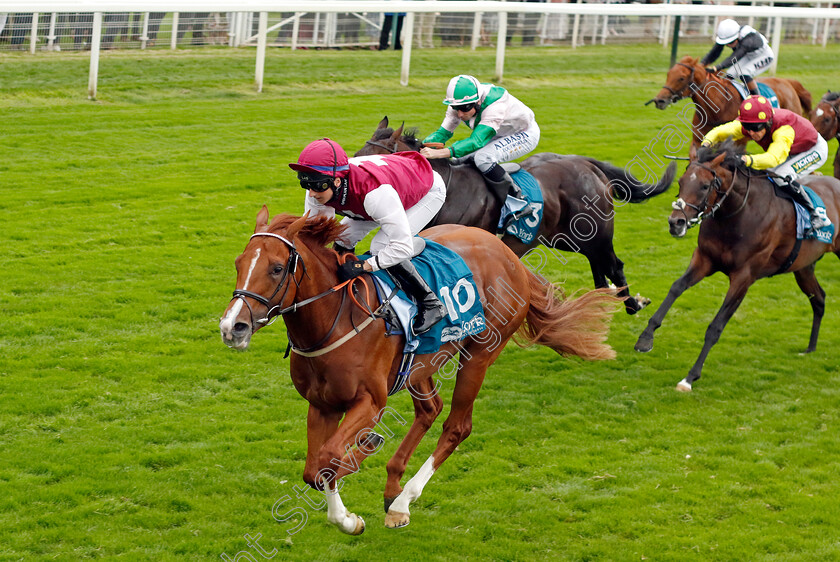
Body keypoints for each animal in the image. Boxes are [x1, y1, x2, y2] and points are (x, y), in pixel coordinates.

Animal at [220, 208, 620, 532]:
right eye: (238, 263)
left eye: (276, 269)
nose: (232, 327)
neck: (334, 319)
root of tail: (511, 257)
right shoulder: (322, 404)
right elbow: (314, 469)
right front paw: (347, 514)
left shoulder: (371, 402)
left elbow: (329, 458)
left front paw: (352, 499)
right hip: (423, 361)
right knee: (430, 410)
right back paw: (392, 485)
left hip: (479, 354)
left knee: (457, 427)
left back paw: (401, 499)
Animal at [352, 116, 676, 316]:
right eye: (355, 155)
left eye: (372, 160)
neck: (446, 189)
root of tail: (587, 164)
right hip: (567, 238)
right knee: (599, 269)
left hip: (596, 234)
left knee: (614, 265)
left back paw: (633, 304)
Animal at [636, 140, 840, 390]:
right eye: (681, 182)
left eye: (705, 186)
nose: (676, 223)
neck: (737, 214)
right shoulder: (704, 259)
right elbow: (676, 287)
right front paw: (645, 338)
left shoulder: (744, 277)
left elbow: (715, 327)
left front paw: (690, 377)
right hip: (803, 266)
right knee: (819, 299)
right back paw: (810, 348)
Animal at [648, 56, 812, 148]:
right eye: (668, 74)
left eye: (681, 78)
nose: (659, 100)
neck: (719, 108)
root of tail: (788, 82)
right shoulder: (698, 140)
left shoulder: (738, 143)